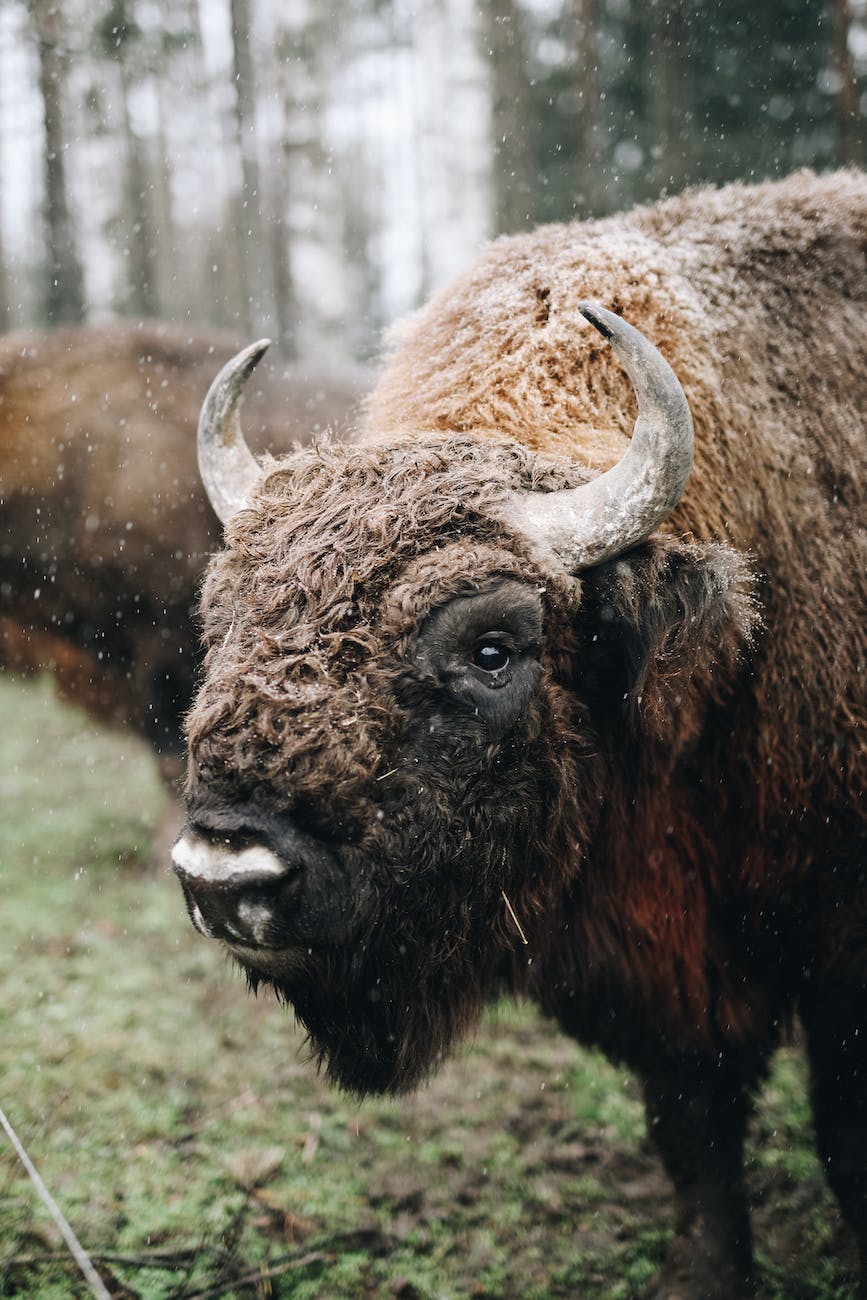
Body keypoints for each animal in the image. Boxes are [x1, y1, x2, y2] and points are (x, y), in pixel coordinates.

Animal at [171, 175, 867, 1300]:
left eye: (492, 647)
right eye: (224, 618)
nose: (226, 877)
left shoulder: (836, 940)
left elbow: (841, 1131)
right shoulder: (654, 964)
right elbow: (694, 1128)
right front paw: (702, 1273)